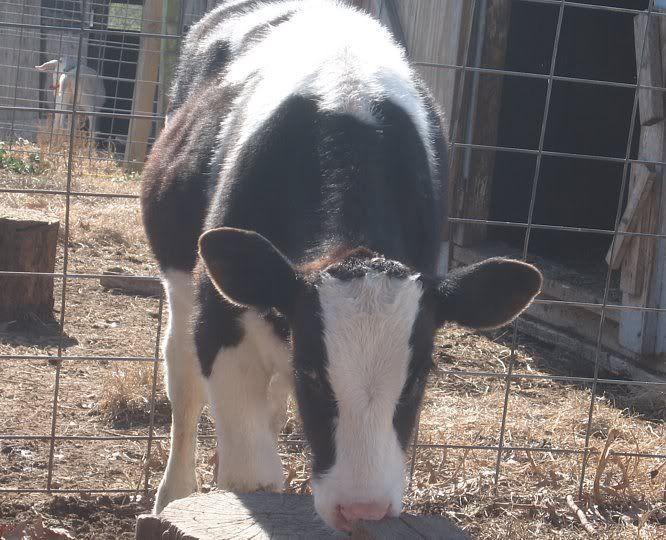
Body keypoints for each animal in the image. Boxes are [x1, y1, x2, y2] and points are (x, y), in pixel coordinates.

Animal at [141, 0, 542, 532]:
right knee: (183, 382)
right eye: (313, 375)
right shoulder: (222, 325)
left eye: (418, 378)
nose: (361, 509)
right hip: (181, 281)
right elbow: (253, 476)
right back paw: (173, 495)